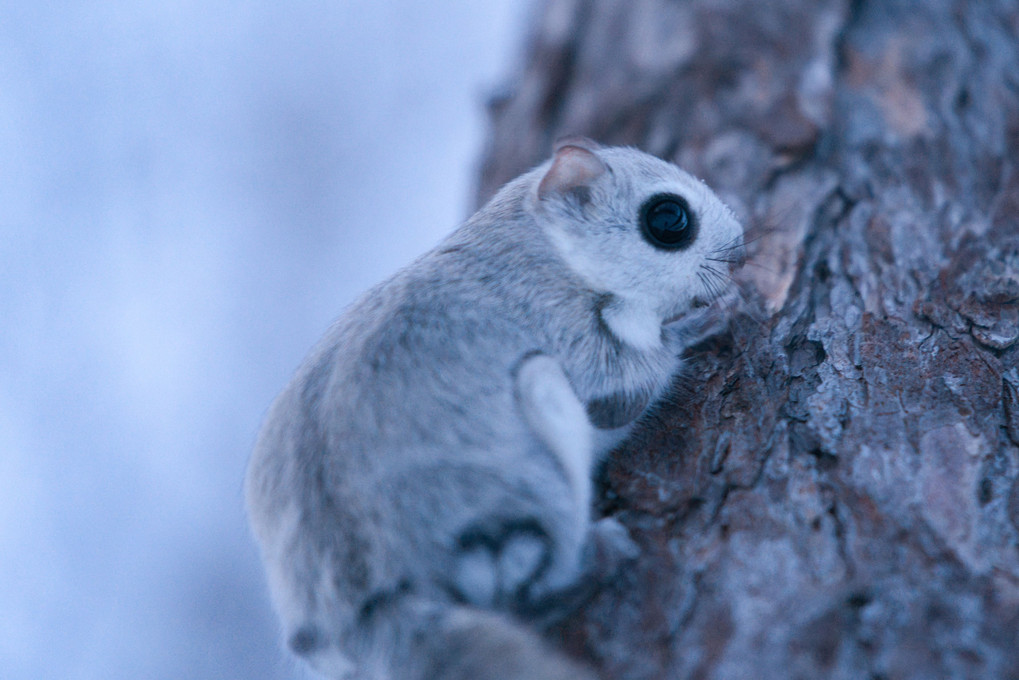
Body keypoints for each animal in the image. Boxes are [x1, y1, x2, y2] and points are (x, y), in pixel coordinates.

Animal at [244, 138, 741, 680]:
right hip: (533, 460)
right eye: (669, 218)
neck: (550, 254)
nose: (740, 250)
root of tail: (367, 614)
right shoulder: (567, 331)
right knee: (537, 591)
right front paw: (706, 320)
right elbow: (632, 385)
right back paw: (602, 556)